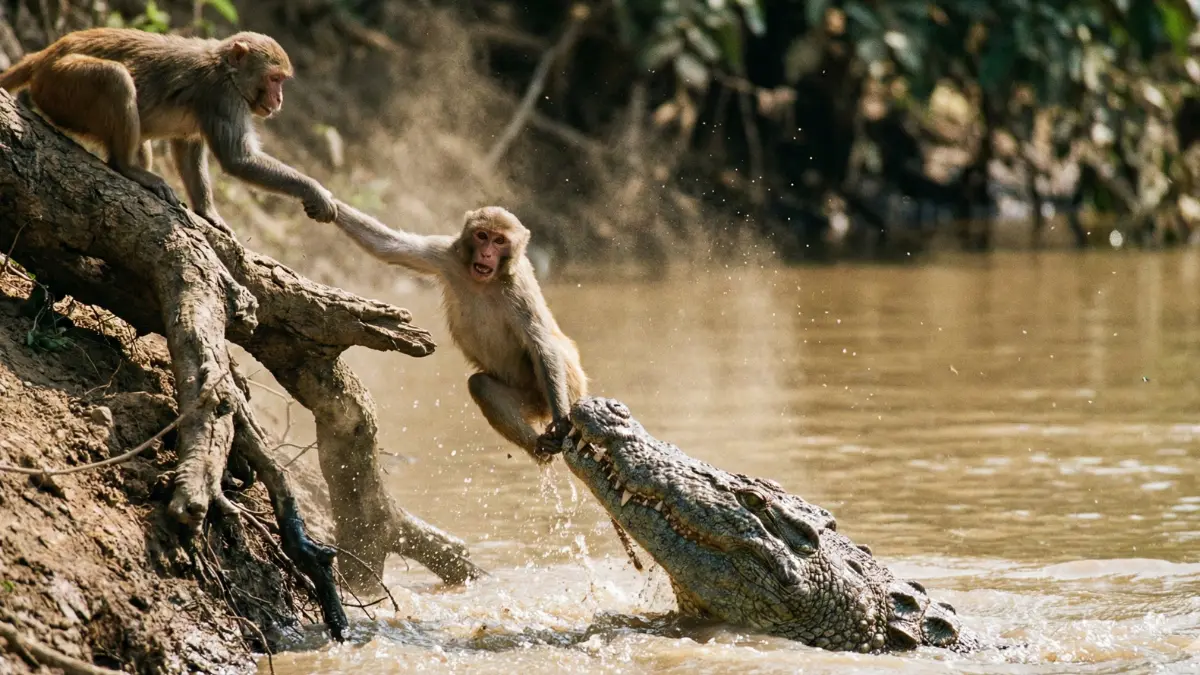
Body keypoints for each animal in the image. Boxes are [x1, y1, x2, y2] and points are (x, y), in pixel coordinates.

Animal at [0, 27, 337, 229]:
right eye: (274, 79)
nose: (279, 99)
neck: (226, 69)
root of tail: (47, 55)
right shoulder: (223, 96)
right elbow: (238, 160)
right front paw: (315, 191)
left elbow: (189, 149)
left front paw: (207, 212)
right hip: (62, 85)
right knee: (115, 79)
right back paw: (127, 167)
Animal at [329, 202, 586, 464]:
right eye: (482, 236)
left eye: (499, 241)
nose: (486, 254)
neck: (486, 281)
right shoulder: (447, 254)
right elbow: (389, 246)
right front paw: (321, 199)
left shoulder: (520, 285)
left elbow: (541, 344)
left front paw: (561, 421)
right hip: (530, 401)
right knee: (481, 385)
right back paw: (540, 447)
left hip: (566, 387)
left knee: (555, 353)